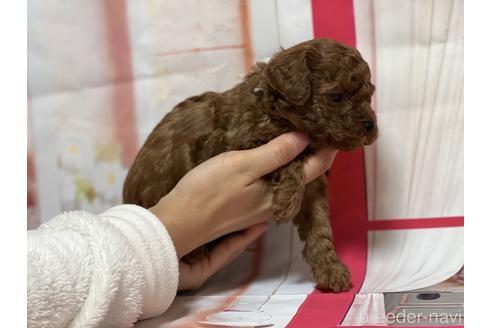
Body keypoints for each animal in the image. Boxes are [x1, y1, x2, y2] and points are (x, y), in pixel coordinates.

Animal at [123, 38, 376, 292]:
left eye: (369, 95)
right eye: (336, 96)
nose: (370, 125)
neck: (275, 111)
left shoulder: (314, 187)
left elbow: (319, 223)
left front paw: (330, 269)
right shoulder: (233, 144)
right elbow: (291, 159)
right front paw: (286, 201)